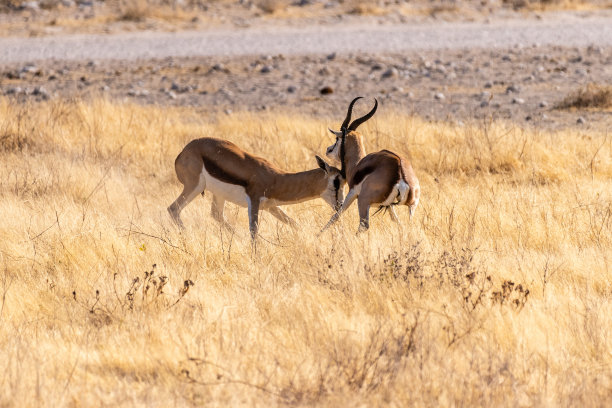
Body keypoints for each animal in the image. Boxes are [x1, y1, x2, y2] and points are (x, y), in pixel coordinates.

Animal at [169, 137, 344, 239]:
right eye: (337, 181)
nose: (340, 205)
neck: (276, 178)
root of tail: (183, 152)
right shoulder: (254, 202)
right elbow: (254, 231)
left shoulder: (270, 207)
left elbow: (294, 224)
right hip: (195, 186)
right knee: (173, 208)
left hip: (218, 195)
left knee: (216, 214)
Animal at [322, 96, 418, 234]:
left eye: (336, 139)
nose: (328, 150)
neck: (357, 165)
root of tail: (401, 176)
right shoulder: (389, 206)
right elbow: (397, 221)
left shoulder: (352, 193)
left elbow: (336, 215)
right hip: (411, 207)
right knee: (407, 225)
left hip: (363, 201)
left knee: (364, 225)